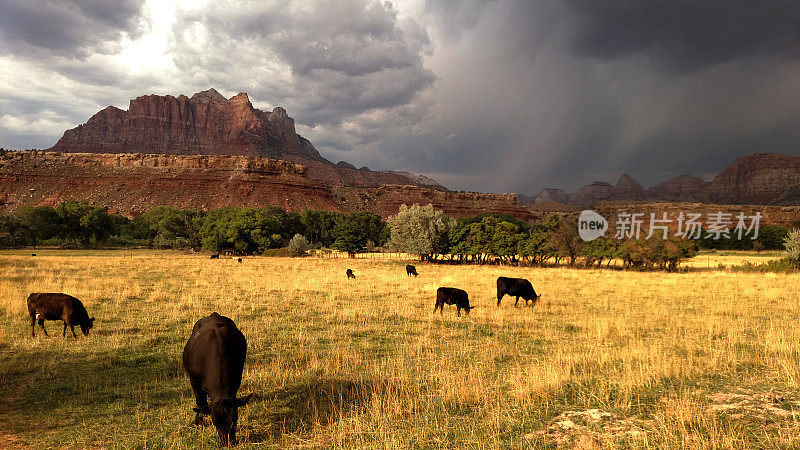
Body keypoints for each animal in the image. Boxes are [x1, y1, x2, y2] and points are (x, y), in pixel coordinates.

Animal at [183, 312, 252, 446]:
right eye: (215, 422)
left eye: (235, 419)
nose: (228, 442)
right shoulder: (194, 379)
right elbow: (200, 401)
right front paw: (199, 421)